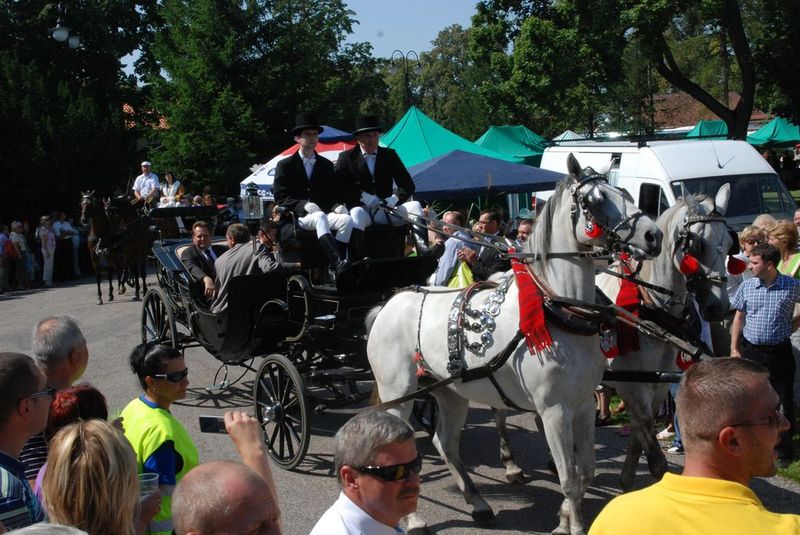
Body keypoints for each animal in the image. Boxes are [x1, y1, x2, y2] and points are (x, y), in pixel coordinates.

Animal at [366, 154, 662, 535]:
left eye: (623, 192)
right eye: (594, 201)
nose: (653, 235)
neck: (557, 310)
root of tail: (388, 304)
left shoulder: (582, 404)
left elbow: (586, 471)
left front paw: (564, 519)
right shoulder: (553, 410)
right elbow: (568, 477)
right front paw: (573, 526)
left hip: (450, 393)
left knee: (444, 443)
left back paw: (478, 502)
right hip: (399, 392)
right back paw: (414, 518)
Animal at [595, 187, 734, 491]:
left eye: (731, 244)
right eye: (697, 245)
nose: (719, 308)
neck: (649, 309)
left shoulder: (655, 386)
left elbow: (638, 435)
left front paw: (626, 482)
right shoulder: (633, 387)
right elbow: (654, 456)